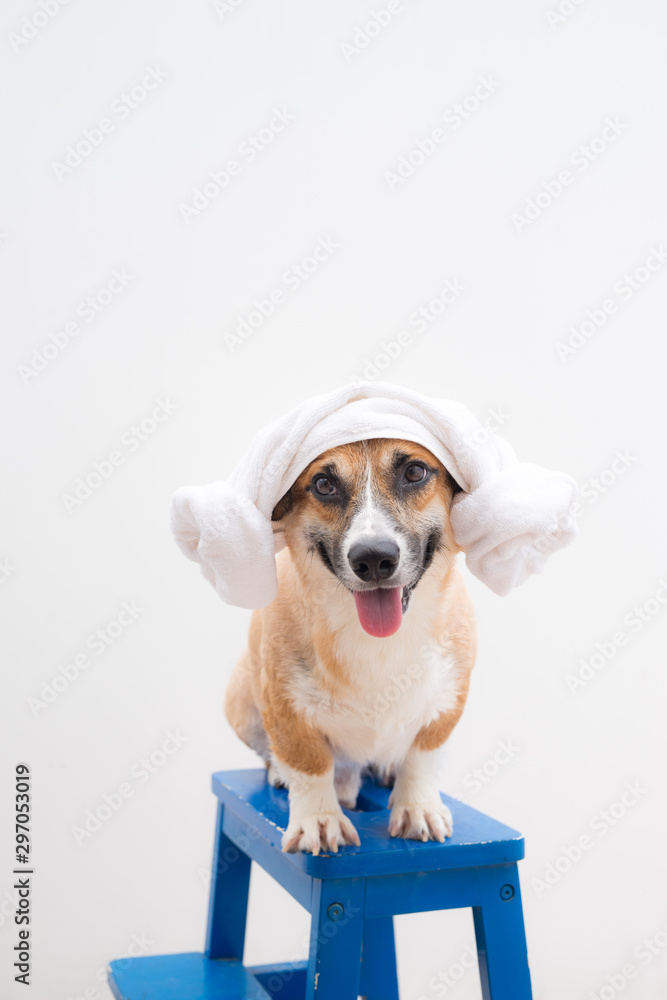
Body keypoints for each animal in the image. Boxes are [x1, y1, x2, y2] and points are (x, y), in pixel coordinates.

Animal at [227, 438, 478, 852]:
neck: (376, 640)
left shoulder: (447, 701)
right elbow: (309, 763)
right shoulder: (283, 706)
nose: (374, 559)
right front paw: (319, 819)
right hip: (241, 706)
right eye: (324, 484)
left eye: (414, 472)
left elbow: (422, 756)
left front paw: (418, 807)